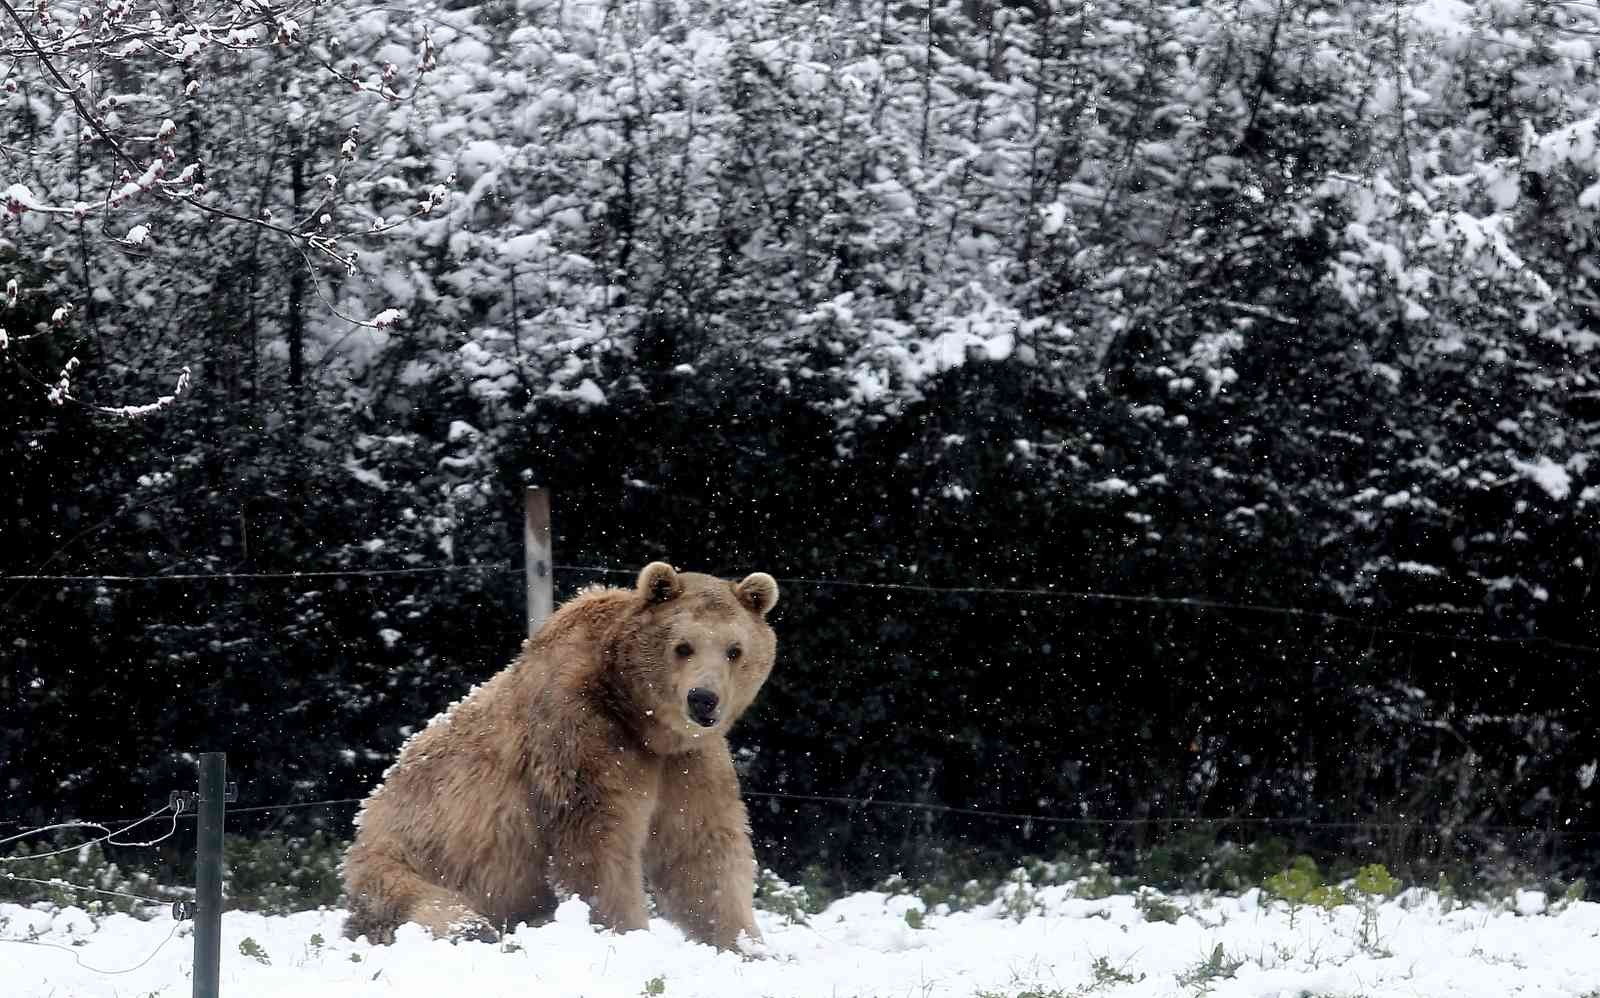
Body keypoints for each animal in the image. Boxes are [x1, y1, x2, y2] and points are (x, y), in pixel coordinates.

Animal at [342, 562, 780, 953]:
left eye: (735, 650)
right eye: (683, 646)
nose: (703, 699)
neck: (638, 716)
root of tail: (364, 819)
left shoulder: (687, 762)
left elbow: (700, 850)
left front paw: (748, 945)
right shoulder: (579, 730)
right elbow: (597, 841)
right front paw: (624, 931)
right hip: (401, 856)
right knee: (419, 902)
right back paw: (472, 929)